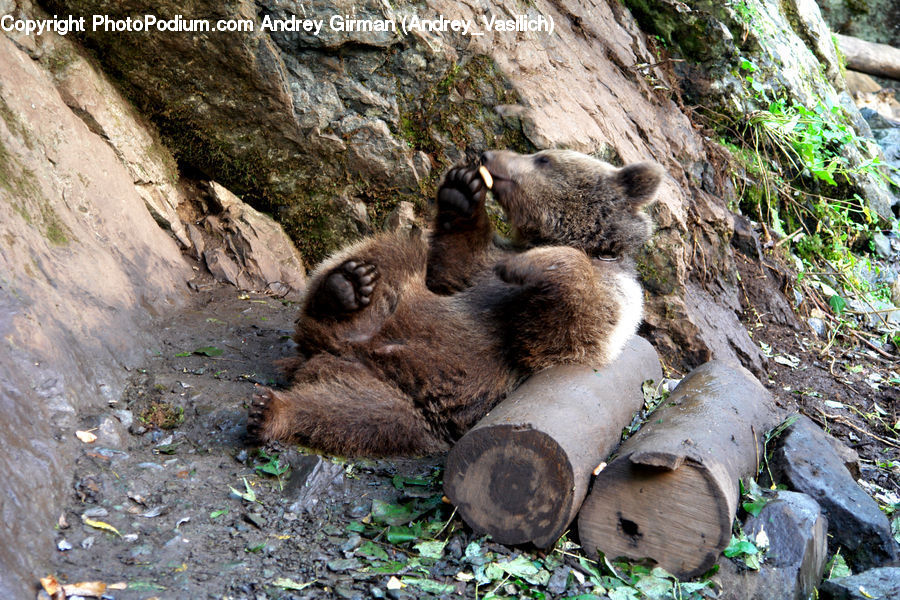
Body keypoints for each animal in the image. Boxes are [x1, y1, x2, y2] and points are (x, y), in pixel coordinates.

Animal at [247, 149, 663, 457]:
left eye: (544, 158)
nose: (488, 153)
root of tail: (322, 357)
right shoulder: (476, 268)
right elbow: (453, 266)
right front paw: (461, 191)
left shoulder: (611, 302)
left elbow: (566, 325)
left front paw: (533, 265)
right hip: (390, 301)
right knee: (391, 253)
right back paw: (346, 288)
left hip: (411, 403)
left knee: (361, 414)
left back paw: (275, 411)